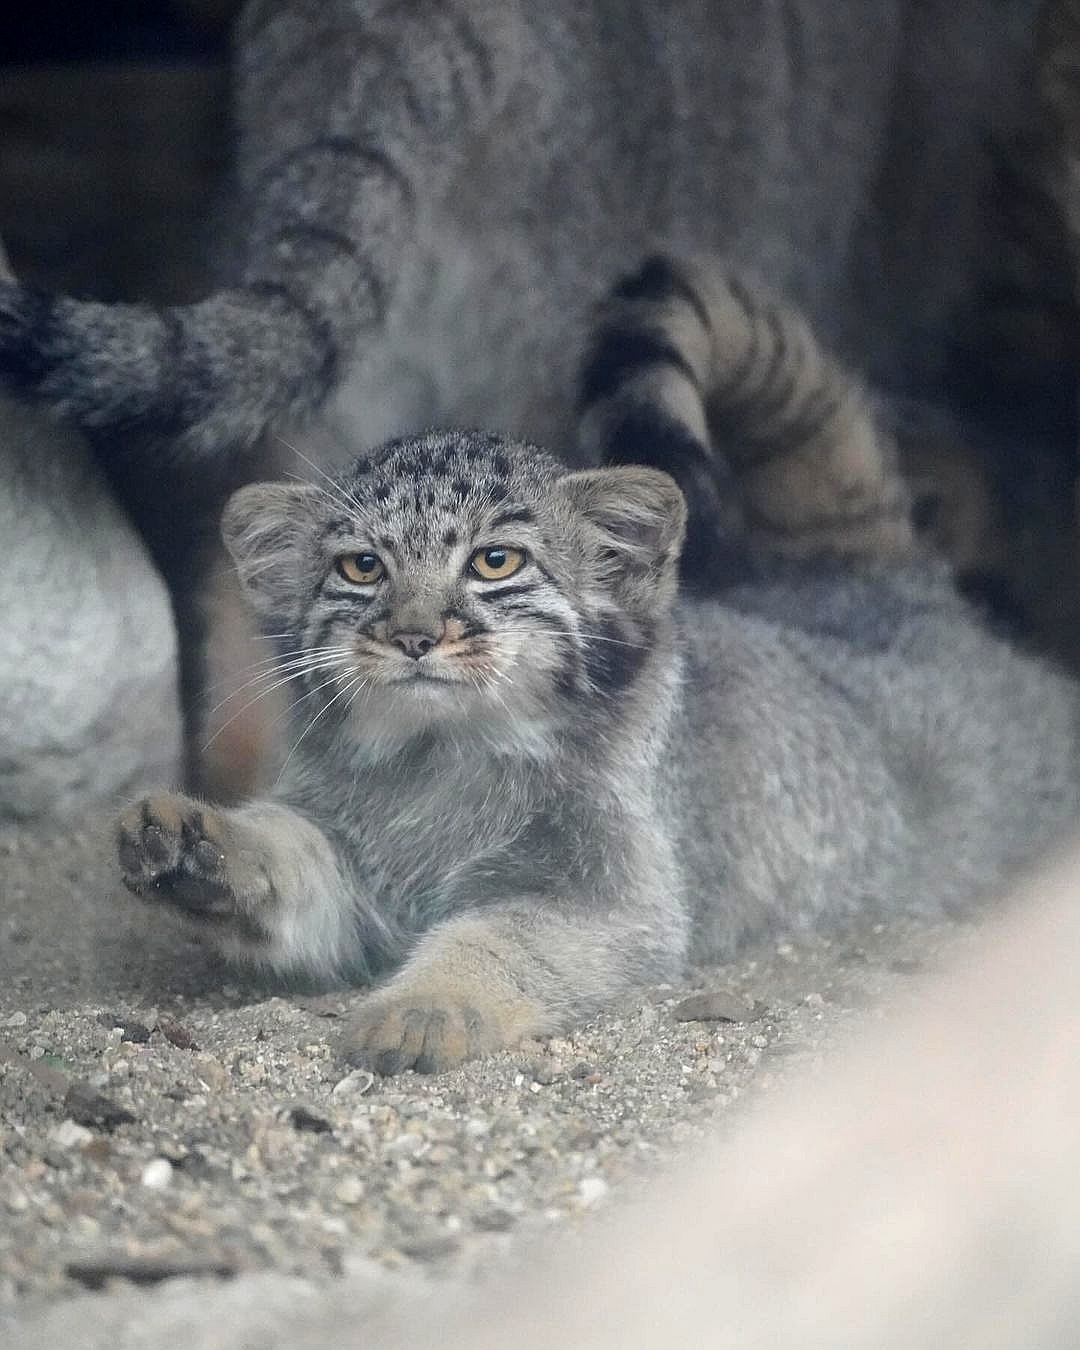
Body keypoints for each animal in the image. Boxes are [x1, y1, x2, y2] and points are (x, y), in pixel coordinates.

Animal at [114, 426, 1080, 1069]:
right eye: (361, 568)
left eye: (495, 562)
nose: (415, 635)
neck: (442, 764)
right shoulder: (354, 871)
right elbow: (298, 865)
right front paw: (207, 844)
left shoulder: (622, 900)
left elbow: (496, 934)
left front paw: (426, 1002)